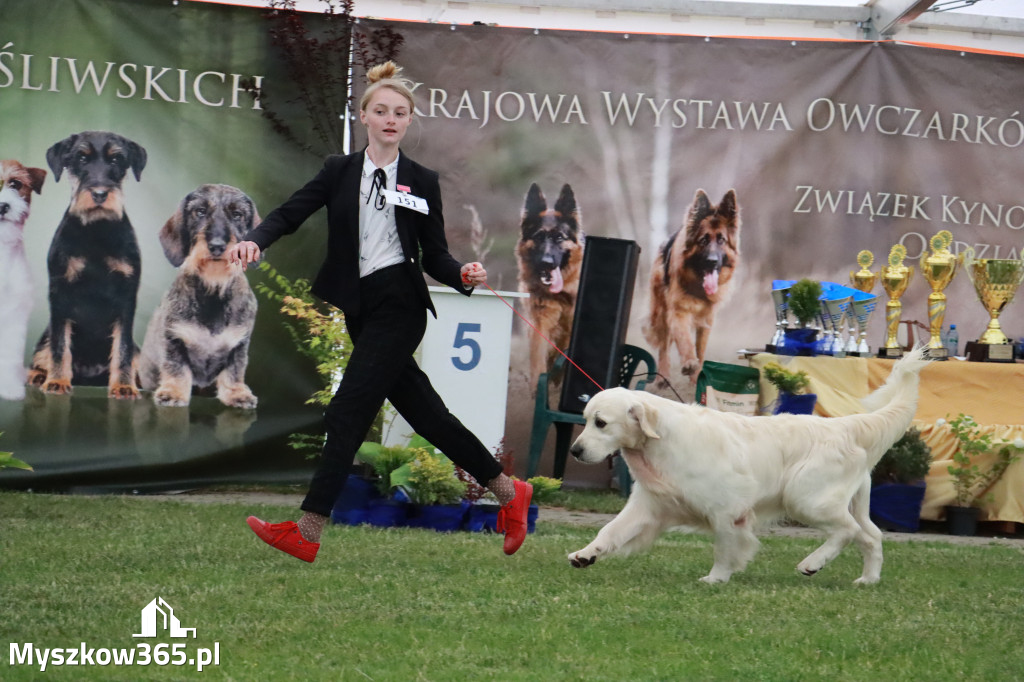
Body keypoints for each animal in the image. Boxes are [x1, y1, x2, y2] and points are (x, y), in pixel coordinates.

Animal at [569, 348, 929, 581]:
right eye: (586, 418)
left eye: (601, 423)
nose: (574, 451)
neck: (662, 441)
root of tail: (845, 425)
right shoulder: (649, 505)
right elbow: (611, 529)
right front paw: (586, 554)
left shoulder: (729, 508)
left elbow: (725, 547)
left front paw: (716, 579)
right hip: (849, 501)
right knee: (871, 536)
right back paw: (867, 580)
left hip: (805, 498)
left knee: (848, 531)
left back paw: (812, 563)